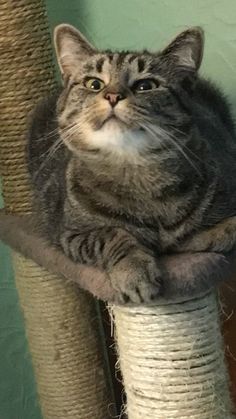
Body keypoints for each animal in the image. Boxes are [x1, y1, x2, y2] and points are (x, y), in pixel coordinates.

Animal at [26, 24, 236, 304]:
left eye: (146, 85)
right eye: (94, 84)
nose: (113, 95)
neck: (136, 174)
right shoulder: (71, 234)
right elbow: (112, 235)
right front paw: (134, 270)